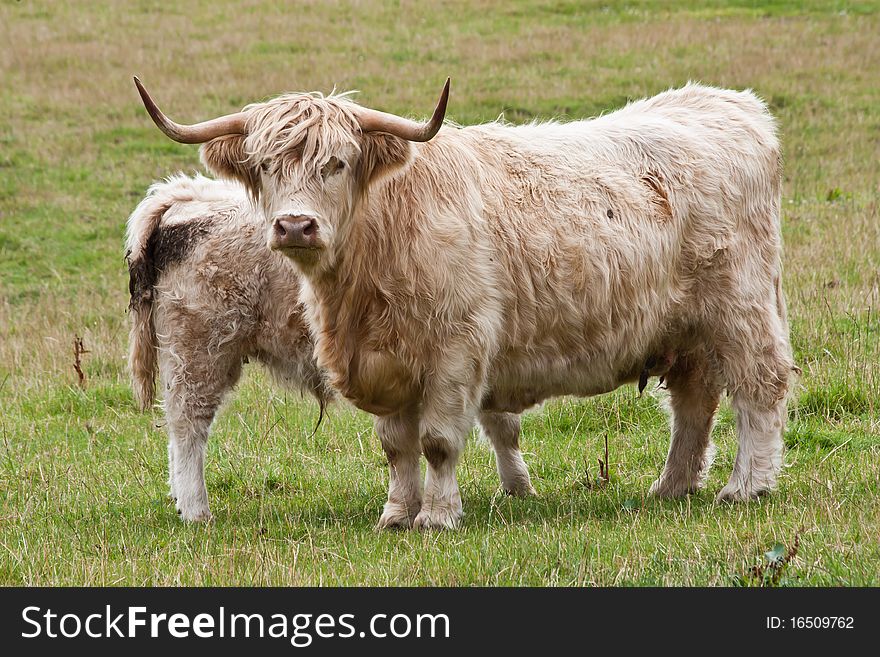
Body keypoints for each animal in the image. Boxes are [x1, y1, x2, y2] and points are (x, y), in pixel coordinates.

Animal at [136, 78, 796, 528]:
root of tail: (726, 104)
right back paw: (671, 487)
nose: (295, 226)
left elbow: (438, 441)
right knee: (694, 404)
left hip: (740, 307)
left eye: (338, 163)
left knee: (759, 386)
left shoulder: (456, 351)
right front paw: (397, 513)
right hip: (689, 331)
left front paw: (437, 515)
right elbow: (397, 446)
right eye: (266, 165)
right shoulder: (387, 364)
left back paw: (748, 486)